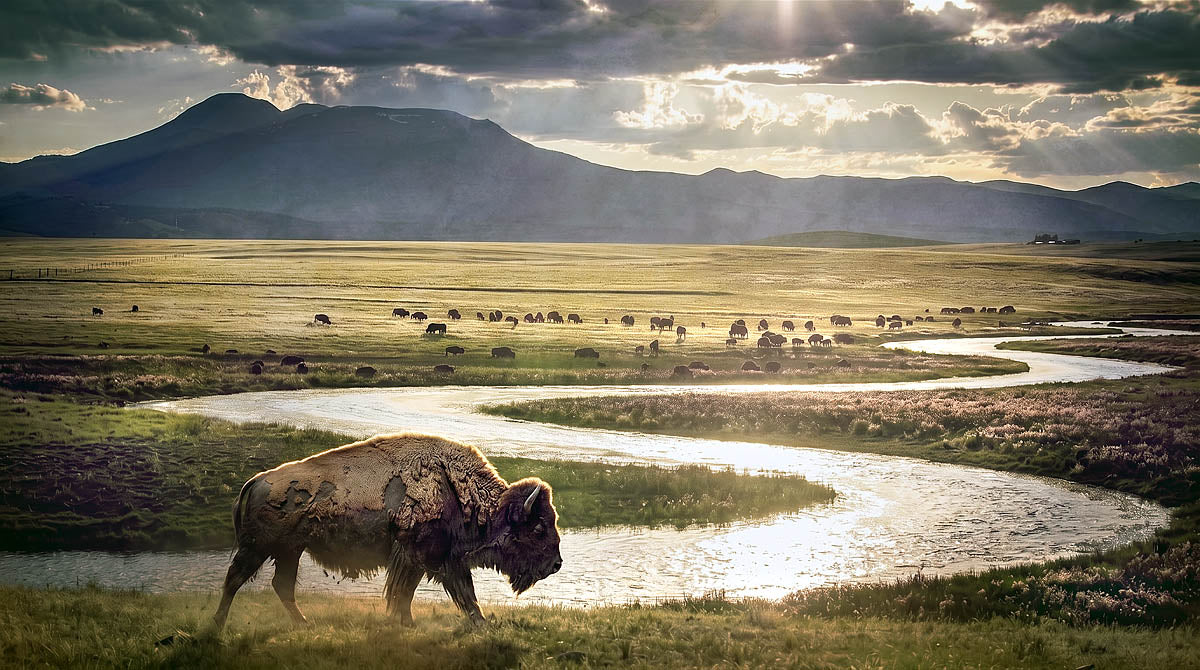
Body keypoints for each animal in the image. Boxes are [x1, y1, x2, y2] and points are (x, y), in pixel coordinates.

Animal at [213, 435, 561, 630]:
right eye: (539, 527)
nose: (556, 564)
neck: (456, 491)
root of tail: (255, 481)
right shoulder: (422, 557)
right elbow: (417, 593)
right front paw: (407, 623)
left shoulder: (440, 561)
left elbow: (451, 594)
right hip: (257, 548)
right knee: (234, 580)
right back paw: (217, 626)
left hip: (290, 551)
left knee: (281, 585)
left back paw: (304, 624)